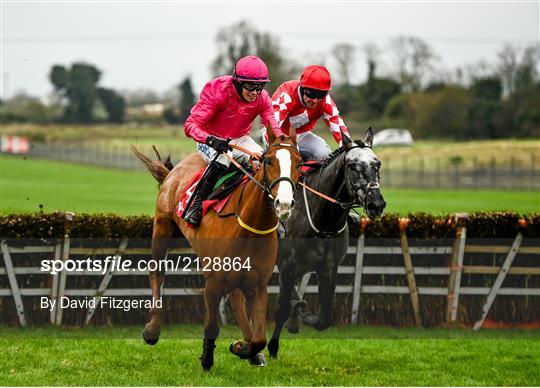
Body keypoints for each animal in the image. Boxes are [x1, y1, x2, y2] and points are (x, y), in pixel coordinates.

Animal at [131, 129, 300, 372]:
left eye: (300, 163)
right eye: (268, 161)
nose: (284, 203)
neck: (249, 224)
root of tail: (173, 171)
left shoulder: (258, 283)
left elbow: (260, 339)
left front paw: (242, 347)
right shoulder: (213, 282)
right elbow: (211, 326)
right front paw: (207, 358)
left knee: (237, 298)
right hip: (162, 227)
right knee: (157, 273)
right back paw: (152, 329)